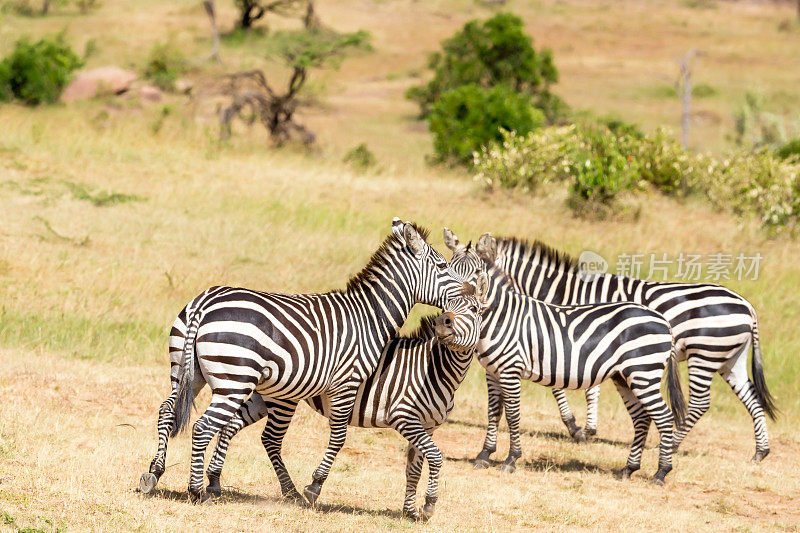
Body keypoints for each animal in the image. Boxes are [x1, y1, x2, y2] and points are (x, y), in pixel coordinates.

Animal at [134, 216, 466, 502]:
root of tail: (204, 301)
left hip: (187, 372)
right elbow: (339, 437)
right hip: (235, 381)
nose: (470, 290)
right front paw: (315, 486)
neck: (368, 316)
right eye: (442, 265)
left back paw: (154, 473)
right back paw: (196, 491)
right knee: (205, 427)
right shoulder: (347, 382)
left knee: (167, 410)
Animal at [203, 270, 490, 520]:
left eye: (475, 310)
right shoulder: (404, 418)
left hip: (262, 395)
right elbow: (435, 456)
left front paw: (410, 512)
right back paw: (286, 491)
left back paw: (215, 484)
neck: (435, 370)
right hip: (280, 398)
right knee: (265, 437)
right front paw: (429, 505)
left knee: (231, 425)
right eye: (445, 308)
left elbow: (414, 468)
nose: (443, 323)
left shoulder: (429, 426)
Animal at [446, 243, 684, 484]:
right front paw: (484, 455)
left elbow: (512, 415)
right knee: (641, 418)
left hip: (643, 372)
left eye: (477, 272)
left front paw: (511, 459)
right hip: (624, 377)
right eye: (448, 268)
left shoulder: (510, 370)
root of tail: (663, 320)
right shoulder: (493, 372)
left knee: (664, 417)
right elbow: (494, 413)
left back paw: (661, 472)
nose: (446, 316)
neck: (501, 316)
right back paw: (629, 468)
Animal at [454, 231, 780, 464]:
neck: (565, 293)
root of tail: (747, 305)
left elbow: (573, 387)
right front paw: (583, 427)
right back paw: (760, 452)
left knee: (700, 403)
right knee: (751, 398)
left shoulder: (573, 340)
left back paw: (671, 444)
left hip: (705, 354)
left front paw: (580, 428)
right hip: (729, 359)